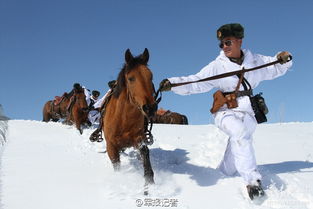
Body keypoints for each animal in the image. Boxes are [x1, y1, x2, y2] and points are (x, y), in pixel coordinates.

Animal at [103, 48, 157, 193]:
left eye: (151, 76)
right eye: (131, 78)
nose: (150, 108)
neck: (123, 120)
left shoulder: (138, 139)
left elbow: (145, 153)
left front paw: (149, 184)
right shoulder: (111, 147)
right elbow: (117, 167)